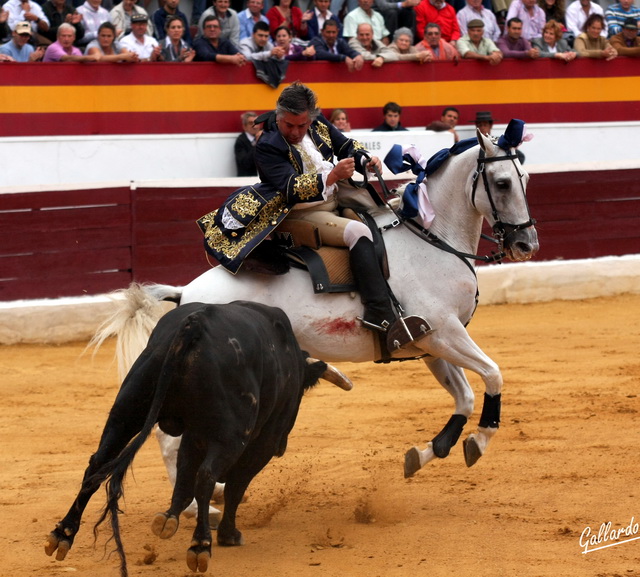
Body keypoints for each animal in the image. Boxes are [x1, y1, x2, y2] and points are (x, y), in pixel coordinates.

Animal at [45, 300, 352, 572]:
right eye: (299, 395)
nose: (282, 447)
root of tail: (195, 325)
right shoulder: (258, 444)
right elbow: (235, 484)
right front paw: (228, 534)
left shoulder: (194, 433)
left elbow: (185, 470)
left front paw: (170, 517)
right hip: (232, 435)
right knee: (207, 476)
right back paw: (201, 545)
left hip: (126, 412)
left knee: (97, 464)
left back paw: (63, 534)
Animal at [100, 128, 536, 484]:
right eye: (501, 183)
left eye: (525, 179)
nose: (526, 244)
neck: (433, 239)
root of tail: (185, 296)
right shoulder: (445, 333)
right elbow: (493, 374)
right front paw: (479, 439)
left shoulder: (430, 343)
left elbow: (464, 395)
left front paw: (428, 451)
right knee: (171, 436)